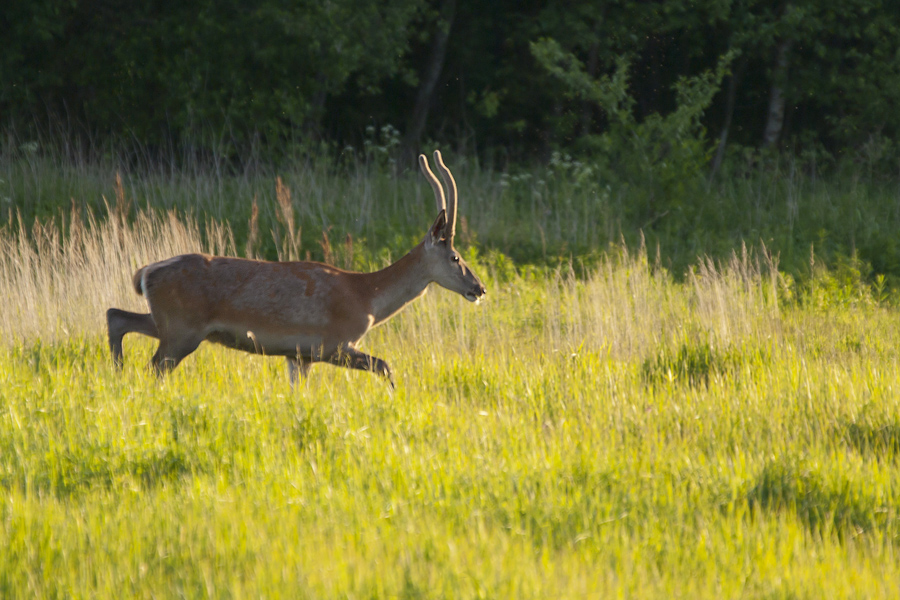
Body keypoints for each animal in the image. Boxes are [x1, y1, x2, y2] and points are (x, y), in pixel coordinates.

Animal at [105, 150, 486, 390]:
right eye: (455, 257)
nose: (479, 288)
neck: (366, 299)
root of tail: (144, 273)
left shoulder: (298, 356)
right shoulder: (333, 343)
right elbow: (385, 364)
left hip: (171, 323)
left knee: (117, 316)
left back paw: (117, 373)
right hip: (182, 330)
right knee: (153, 364)